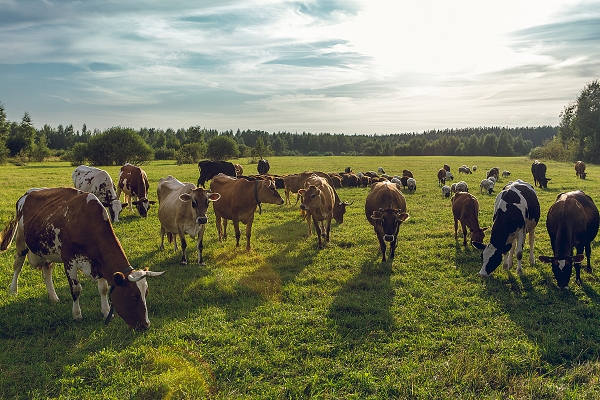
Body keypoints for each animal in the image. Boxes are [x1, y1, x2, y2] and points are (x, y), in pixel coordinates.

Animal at [0, 189, 164, 330]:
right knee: (17, 265)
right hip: (21, 240)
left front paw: (106, 311)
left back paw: (53, 297)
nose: (145, 325)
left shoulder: (98, 262)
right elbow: (76, 289)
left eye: (146, 293)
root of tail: (26, 194)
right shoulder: (69, 260)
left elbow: (103, 289)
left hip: (46, 250)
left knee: (47, 272)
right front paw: (77, 314)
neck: (87, 223)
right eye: (132, 296)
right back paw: (13, 290)